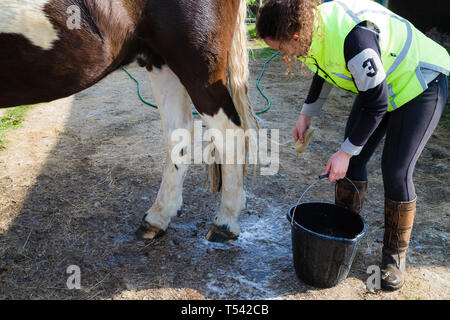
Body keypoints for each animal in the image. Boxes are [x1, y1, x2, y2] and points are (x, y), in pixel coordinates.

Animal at [0, 0, 253, 242]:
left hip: (198, 66)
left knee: (228, 133)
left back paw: (225, 222)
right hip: (160, 61)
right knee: (179, 131)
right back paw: (157, 218)